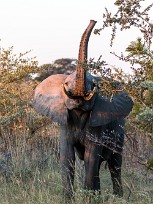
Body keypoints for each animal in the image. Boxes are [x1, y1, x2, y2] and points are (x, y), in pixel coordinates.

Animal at [32, 19, 134, 199]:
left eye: (93, 85)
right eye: (66, 84)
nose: (93, 20)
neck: (78, 112)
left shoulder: (98, 121)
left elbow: (91, 156)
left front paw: (88, 197)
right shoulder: (65, 120)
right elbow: (67, 157)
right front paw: (68, 199)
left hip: (120, 132)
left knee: (115, 165)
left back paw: (117, 197)